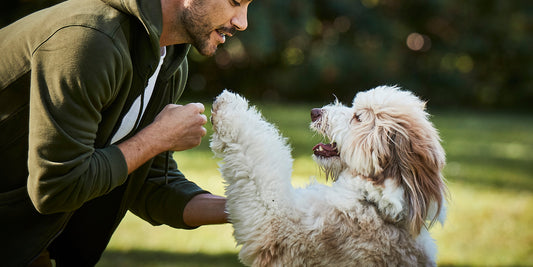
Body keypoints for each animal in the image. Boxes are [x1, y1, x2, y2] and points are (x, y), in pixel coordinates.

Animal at [210, 86, 446, 267]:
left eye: (358, 117)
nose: (315, 111)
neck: (374, 201)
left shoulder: (278, 226)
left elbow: (257, 158)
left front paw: (228, 105)